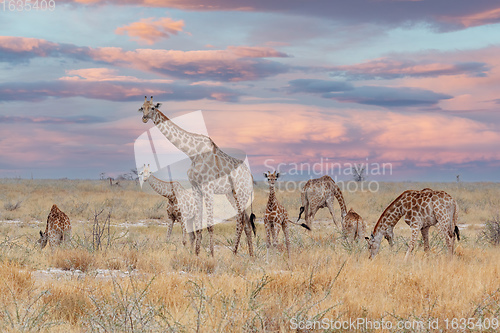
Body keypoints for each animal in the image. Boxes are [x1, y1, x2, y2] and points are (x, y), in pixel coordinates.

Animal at [138, 96, 256, 256]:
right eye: (141, 107)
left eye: (152, 108)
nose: (144, 118)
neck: (193, 153)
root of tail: (250, 177)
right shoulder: (196, 188)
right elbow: (198, 225)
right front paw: (197, 253)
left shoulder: (208, 187)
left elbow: (210, 225)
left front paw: (211, 255)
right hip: (231, 194)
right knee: (246, 221)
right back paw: (250, 255)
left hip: (241, 193)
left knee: (241, 220)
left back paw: (234, 254)